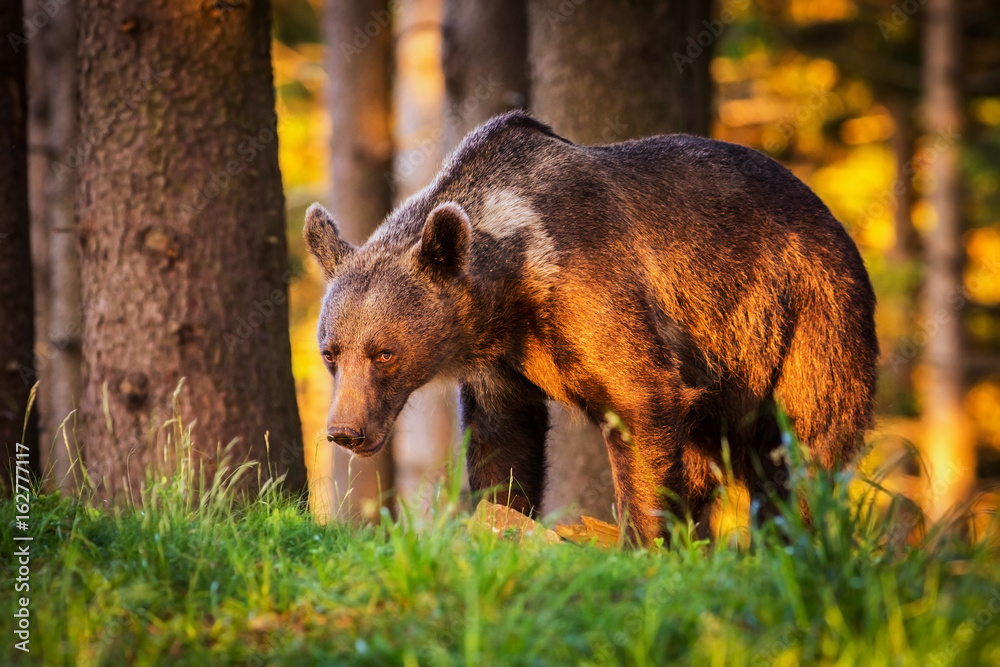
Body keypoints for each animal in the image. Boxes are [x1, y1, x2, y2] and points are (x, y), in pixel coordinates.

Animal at [302, 109, 876, 544]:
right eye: (331, 351)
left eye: (384, 352)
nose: (345, 430)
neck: (517, 282)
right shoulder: (500, 362)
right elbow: (502, 442)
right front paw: (501, 519)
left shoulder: (597, 292)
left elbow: (641, 404)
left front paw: (643, 542)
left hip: (803, 321)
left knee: (800, 447)